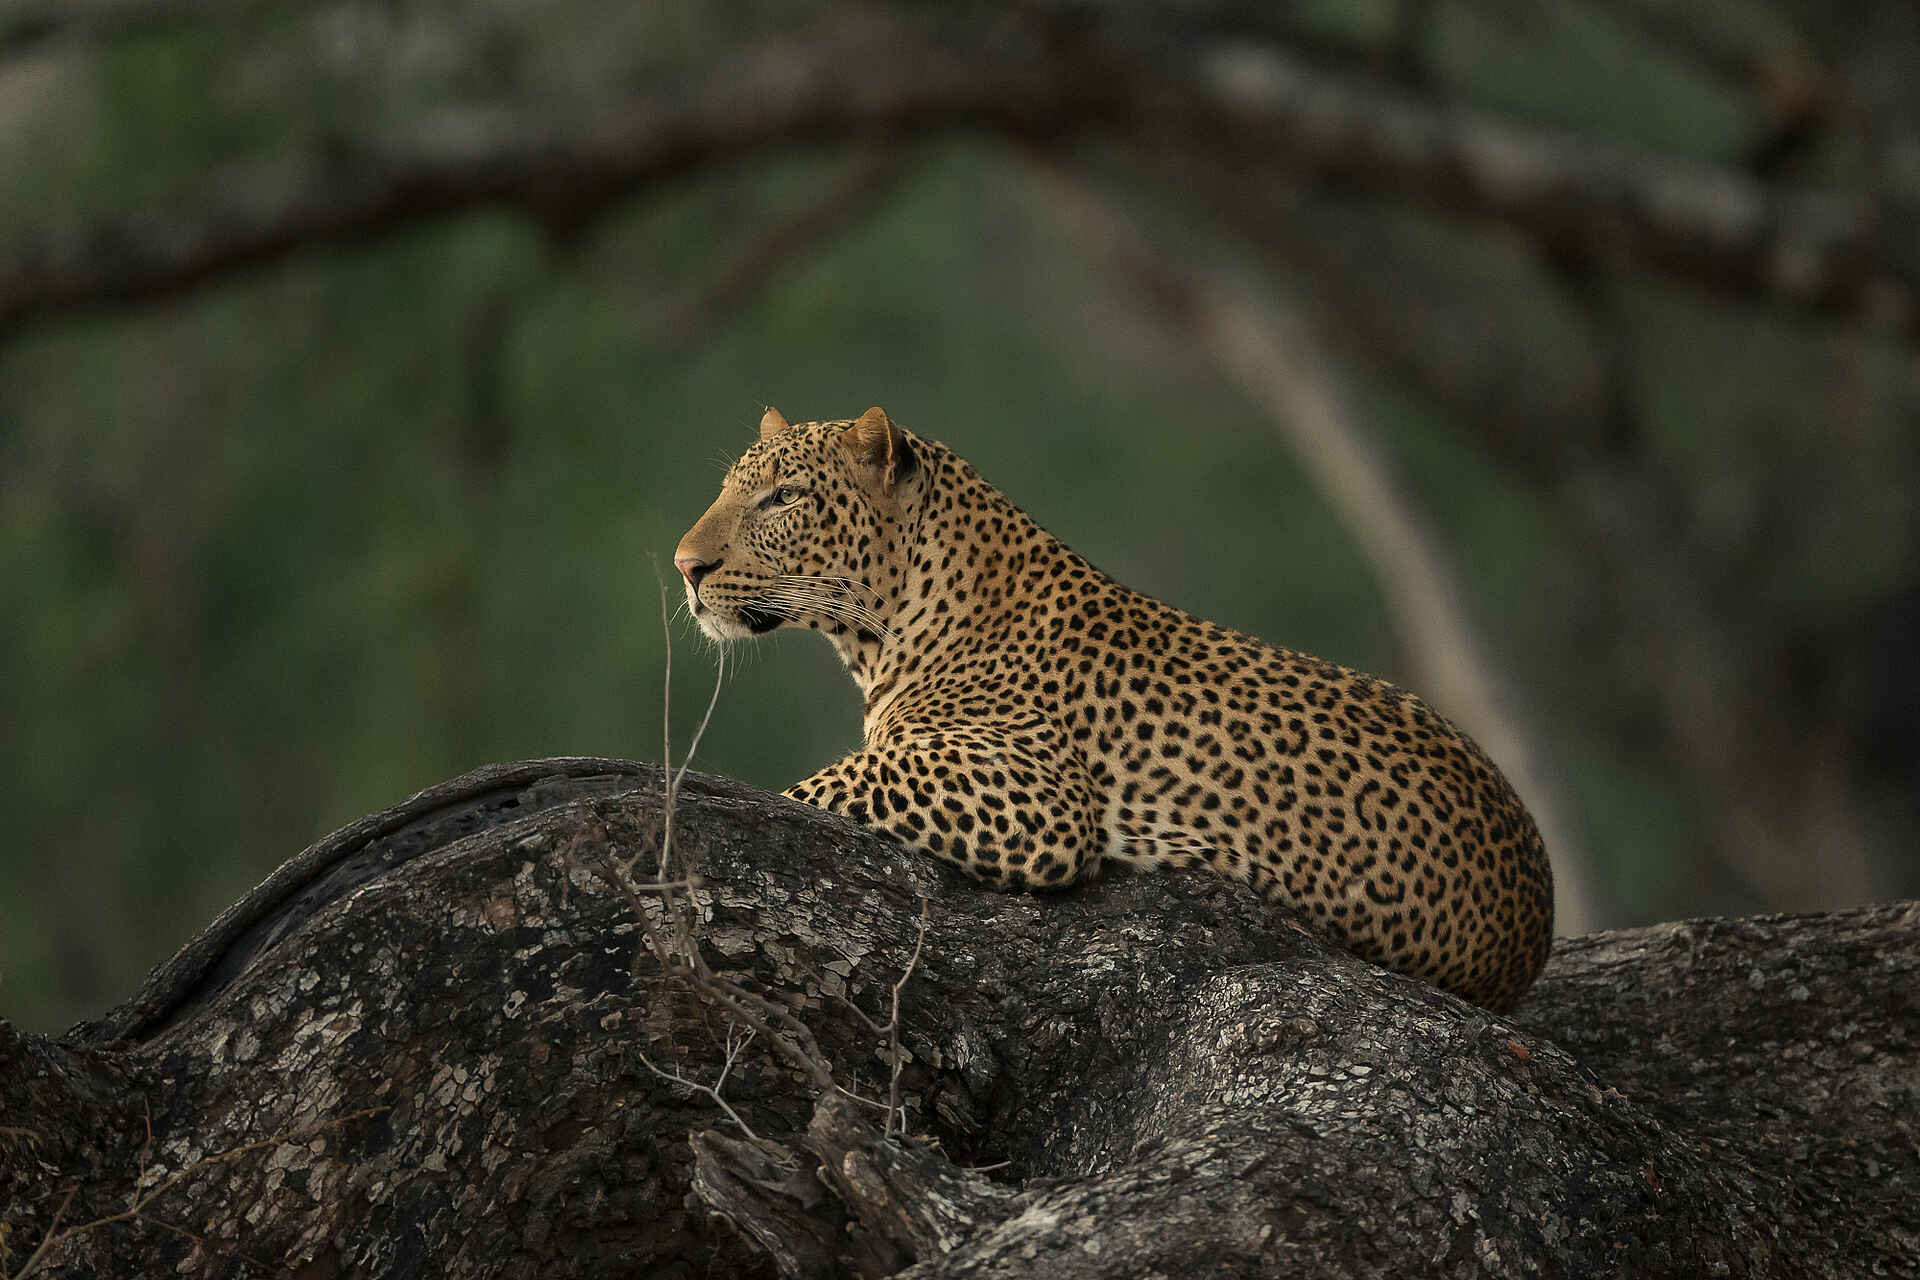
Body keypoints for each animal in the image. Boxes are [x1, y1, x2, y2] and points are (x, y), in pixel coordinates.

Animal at [674, 405, 1555, 1011]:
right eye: (724, 488)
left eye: (783, 497)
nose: (686, 565)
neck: (887, 628)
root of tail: (1535, 927)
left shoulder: (1033, 794)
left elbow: (822, 785)